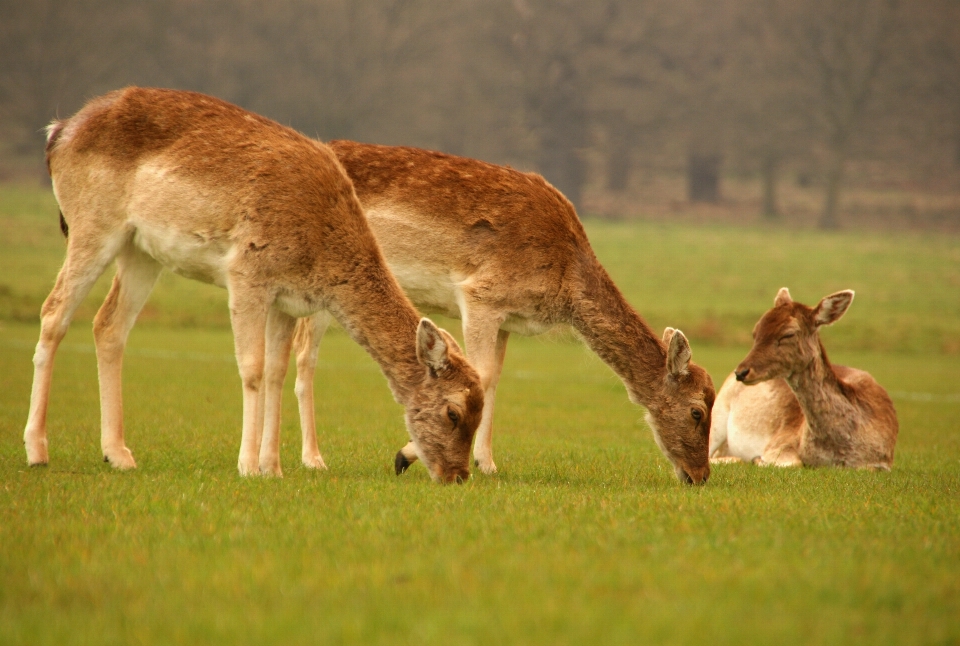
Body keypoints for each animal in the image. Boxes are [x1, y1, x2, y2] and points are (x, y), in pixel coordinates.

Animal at [22, 87, 484, 480]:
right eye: (454, 413)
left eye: (480, 414)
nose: (458, 476)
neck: (320, 247)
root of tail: (58, 131)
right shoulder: (247, 272)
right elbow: (253, 367)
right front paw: (247, 465)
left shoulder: (288, 300)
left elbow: (277, 371)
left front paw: (272, 467)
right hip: (92, 222)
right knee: (54, 312)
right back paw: (37, 450)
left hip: (142, 251)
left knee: (108, 325)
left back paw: (118, 454)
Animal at [288, 142, 716, 486]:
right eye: (697, 412)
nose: (700, 476)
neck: (563, 277)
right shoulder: (481, 295)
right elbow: (480, 374)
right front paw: (409, 456)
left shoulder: (509, 319)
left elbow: (494, 380)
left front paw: (487, 464)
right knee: (305, 356)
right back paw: (313, 460)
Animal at [708, 288, 896, 470]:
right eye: (755, 332)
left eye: (788, 334)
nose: (741, 372)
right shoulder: (780, 442)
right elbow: (795, 463)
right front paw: (756, 459)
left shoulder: (884, 462)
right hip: (716, 412)